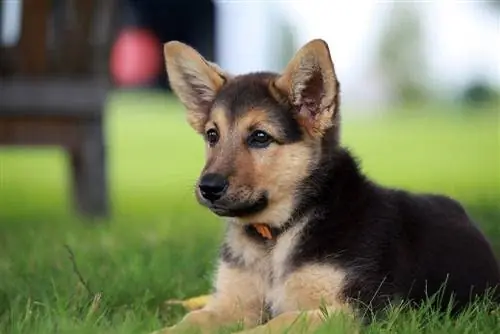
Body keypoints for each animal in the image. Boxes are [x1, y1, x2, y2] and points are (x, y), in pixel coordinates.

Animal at [156, 37, 500, 332]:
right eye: (212, 135)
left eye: (260, 137)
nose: (207, 187)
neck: (278, 233)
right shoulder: (232, 304)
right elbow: (192, 320)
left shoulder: (361, 309)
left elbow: (278, 323)